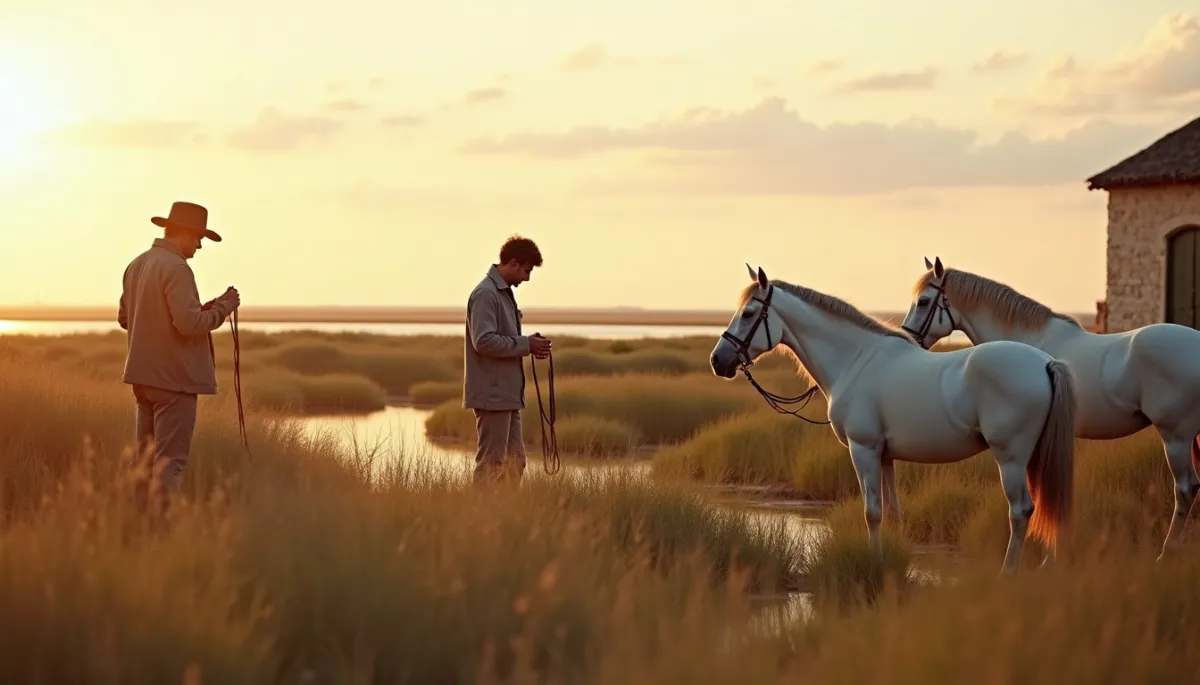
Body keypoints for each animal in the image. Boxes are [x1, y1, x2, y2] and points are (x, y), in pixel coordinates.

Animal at [710, 264, 1078, 576]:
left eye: (748, 313)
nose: (718, 361)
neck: (856, 360)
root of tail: (1046, 362)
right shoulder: (885, 456)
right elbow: (893, 514)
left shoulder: (863, 450)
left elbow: (872, 513)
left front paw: (874, 564)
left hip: (1011, 458)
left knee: (1021, 511)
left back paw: (1008, 573)